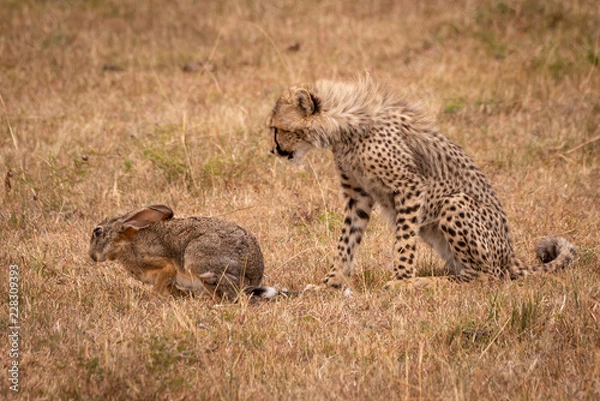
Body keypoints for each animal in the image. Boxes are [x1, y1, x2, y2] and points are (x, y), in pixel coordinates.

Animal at [268, 76, 576, 288]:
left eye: (276, 129)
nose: (273, 151)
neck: (343, 124)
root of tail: (510, 255)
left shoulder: (410, 186)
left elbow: (403, 242)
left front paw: (401, 282)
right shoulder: (359, 196)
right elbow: (346, 241)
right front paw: (330, 284)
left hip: (455, 203)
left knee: (485, 277)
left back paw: (425, 282)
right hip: (433, 230)